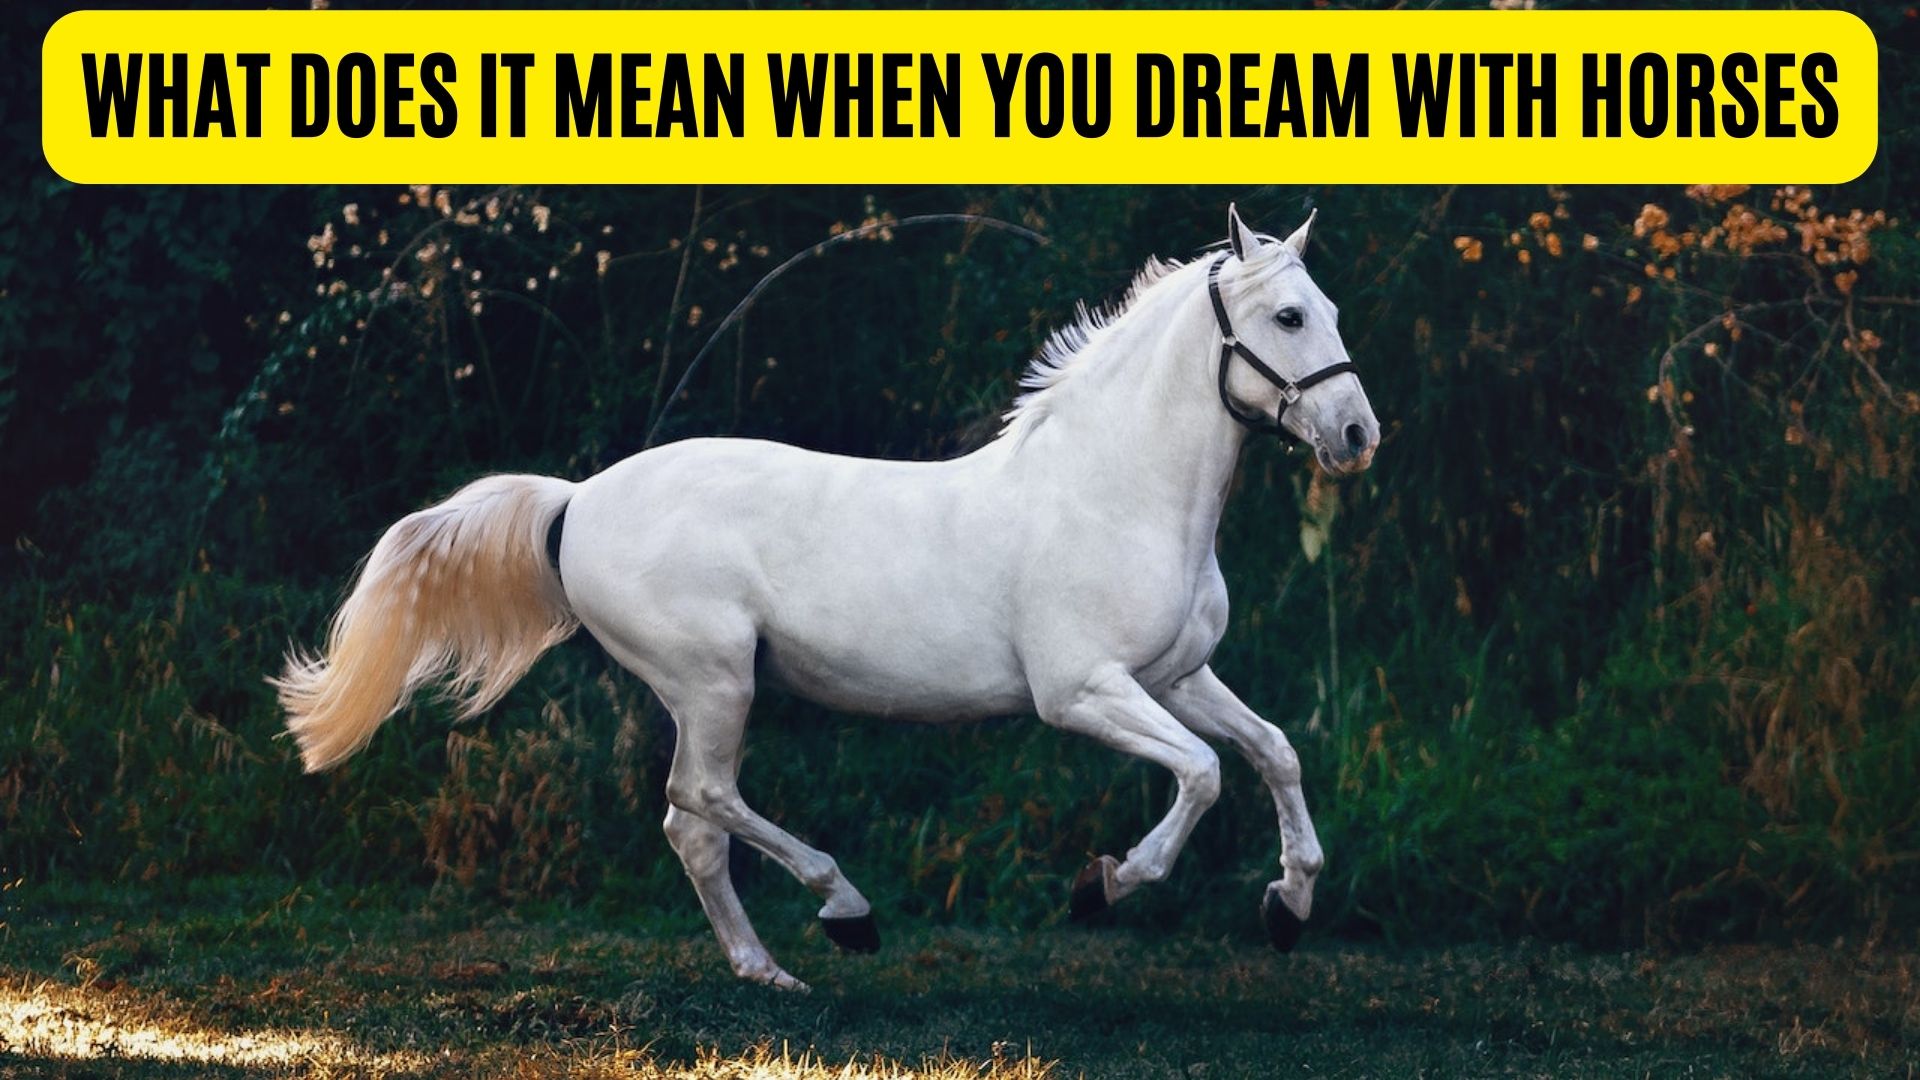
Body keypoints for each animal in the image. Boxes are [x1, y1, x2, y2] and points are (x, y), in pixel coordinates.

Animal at [275, 205, 1379, 990]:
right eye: (1288, 316)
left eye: (1331, 313)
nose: (1358, 435)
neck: (1114, 490)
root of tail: (577, 499)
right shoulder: (1083, 692)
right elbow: (1202, 774)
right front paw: (1103, 886)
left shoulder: (1178, 675)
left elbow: (1273, 751)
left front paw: (1289, 906)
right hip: (714, 681)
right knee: (702, 801)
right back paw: (844, 912)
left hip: (710, 691)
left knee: (691, 827)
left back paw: (769, 971)